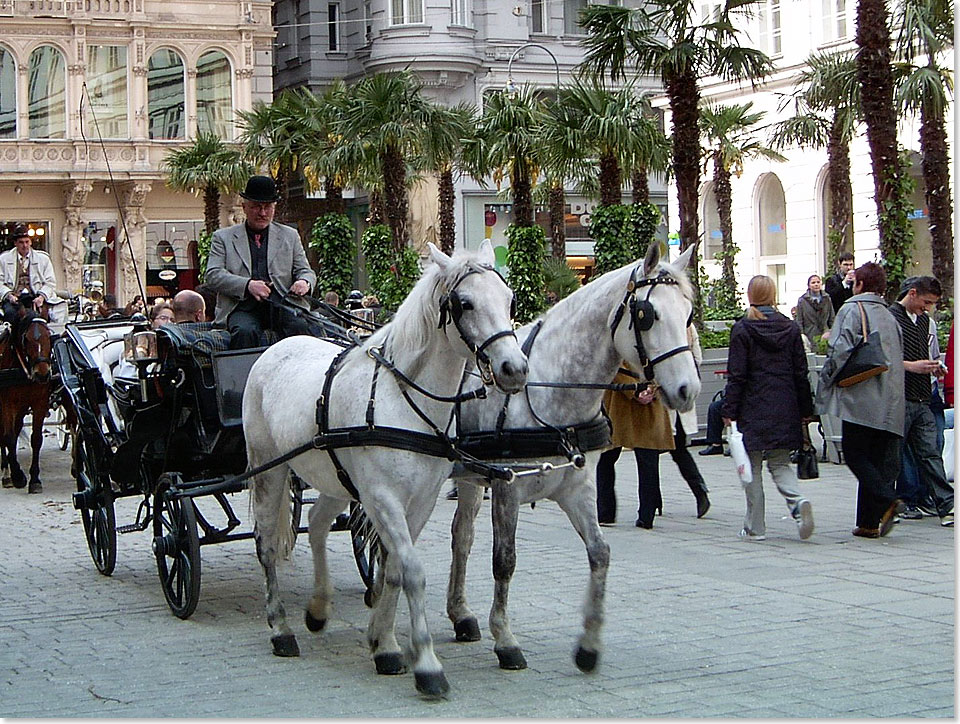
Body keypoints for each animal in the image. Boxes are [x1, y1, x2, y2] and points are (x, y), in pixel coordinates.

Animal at [0, 308, 53, 494]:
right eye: (26, 339)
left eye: (49, 335)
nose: (42, 374)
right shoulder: (7, 404)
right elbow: (8, 437)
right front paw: (17, 476)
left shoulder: (39, 403)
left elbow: (36, 439)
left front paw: (35, 479)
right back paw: (6, 473)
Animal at [240, 242, 524, 696]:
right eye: (464, 303)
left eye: (509, 299)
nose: (515, 369)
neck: (402, 399)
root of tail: (276, 348)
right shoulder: (381, 498)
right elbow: (411, 570)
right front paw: (426, 663)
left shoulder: (421, 500)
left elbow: (392, 569)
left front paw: (385, 643)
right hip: (269, 471)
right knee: (266, 543)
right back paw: (281, 629)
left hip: (334, 478)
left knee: (317, 525)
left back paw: (318, 607)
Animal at [446, 242, 700, 672]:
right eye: (647, 315)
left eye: (689, 313)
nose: (688, 390)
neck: (548, 387)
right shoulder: (507, 487)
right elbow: (504, 560)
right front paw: (506, 639)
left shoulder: (576, 488)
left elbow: (600, 553)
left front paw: (589, 644)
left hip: (468, 477)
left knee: (461, 536)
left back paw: (460, 614)